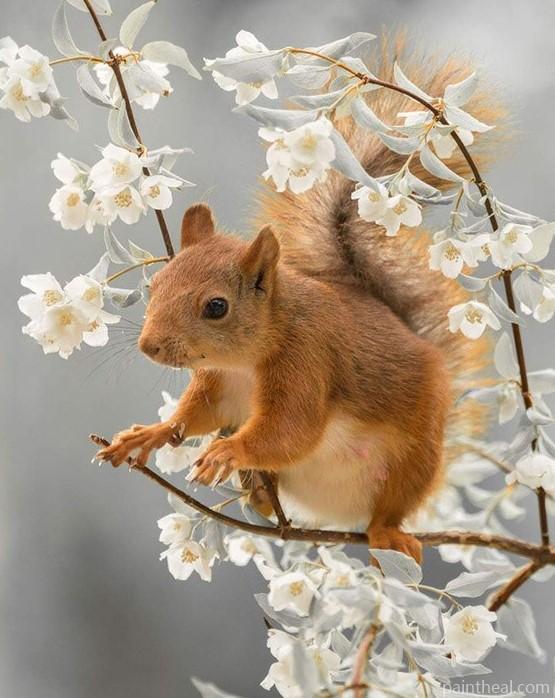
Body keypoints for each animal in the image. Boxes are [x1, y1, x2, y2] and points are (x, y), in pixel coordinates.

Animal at [97, 44, 502, 562]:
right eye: (155, 286)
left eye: (216, 307)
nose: (149, 346)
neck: (244, 362)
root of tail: (339, 515)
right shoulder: (216, 385)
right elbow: (193, 417)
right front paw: (149, 434)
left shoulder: (307, 362)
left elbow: (292, 430)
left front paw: (229, 451)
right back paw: (257, 494)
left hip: (415, 460)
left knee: (391, 505)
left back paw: (386, 533)